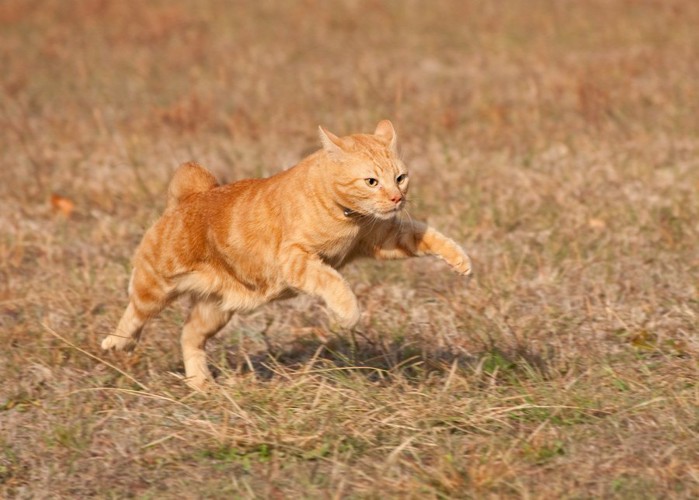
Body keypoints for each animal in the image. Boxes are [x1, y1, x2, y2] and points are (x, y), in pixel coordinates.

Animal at [101, 120, 474, 386]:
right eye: (371, 181)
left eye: (400, 177)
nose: (397, 199)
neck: (346, 217)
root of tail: (190, 197)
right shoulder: (296, 259)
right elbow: (333, 282)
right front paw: (349, 313)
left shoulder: (385, 238)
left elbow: (428, 235)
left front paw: (461, 261)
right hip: (155, 286)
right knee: (134, 315)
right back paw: (117, 344)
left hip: (215, 309)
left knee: (188, 335)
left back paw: (200, 384)